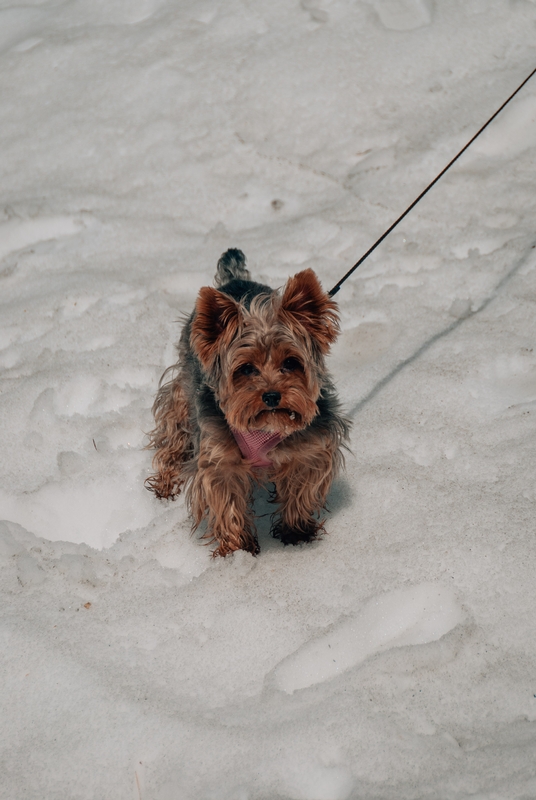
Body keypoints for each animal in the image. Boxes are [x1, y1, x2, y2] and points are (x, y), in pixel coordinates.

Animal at [144, 250, 350, 556]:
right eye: (246, 368)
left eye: (291, 362)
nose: (272, 395)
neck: (266, 427)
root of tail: (235, 279)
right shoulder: (220, 456)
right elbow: (226, 499)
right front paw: (235, 549)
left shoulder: (309, 448)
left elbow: (301, 486)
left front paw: (296, 532)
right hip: (184, 388)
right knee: (174, 430)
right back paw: (166, 483)